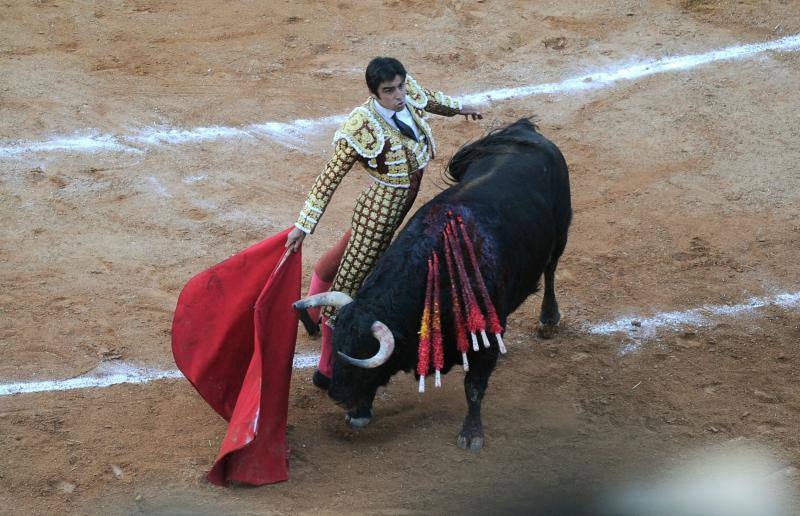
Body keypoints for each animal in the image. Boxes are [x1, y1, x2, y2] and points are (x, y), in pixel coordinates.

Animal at [294, 119, 568, 450]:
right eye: (335, 349)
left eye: (360, 354)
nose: (336, 395)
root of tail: (524, 131)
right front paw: (360, 412)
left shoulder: (485, 335)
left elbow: (474, 386)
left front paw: (471, 434)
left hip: (562, 229)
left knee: (551, 269)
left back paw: (548, 320)